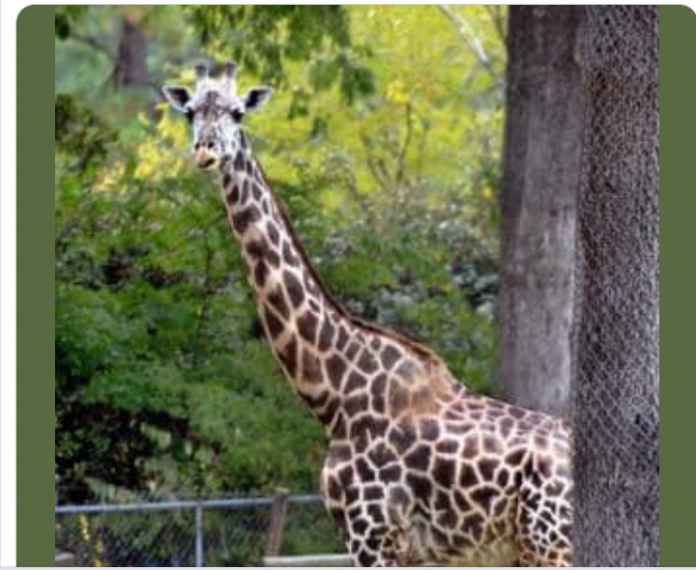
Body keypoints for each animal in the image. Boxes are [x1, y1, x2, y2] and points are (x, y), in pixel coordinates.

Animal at [163, 62, 572, 564]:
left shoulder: (374, 534)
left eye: (238, 112)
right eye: (191, 112)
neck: (335, 394)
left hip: (549, 546)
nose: (205, 150)